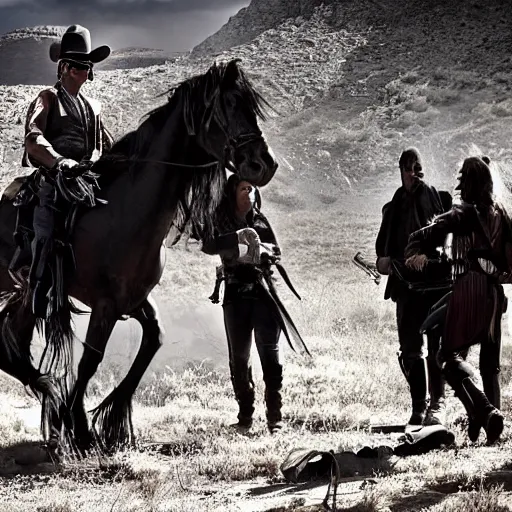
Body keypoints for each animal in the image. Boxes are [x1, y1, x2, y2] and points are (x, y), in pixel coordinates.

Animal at [0, 59, 278, 452]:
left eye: (250, 107)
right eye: (225, 107)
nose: (264, 164)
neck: (126, 210)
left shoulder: (133, 301)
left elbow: (152, 343)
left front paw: (110, 423)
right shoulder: (104, 305)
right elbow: (90, 360)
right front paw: (80, 429)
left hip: (28, 297)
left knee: (10, 343)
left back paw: (51, 406)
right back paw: (54, 407)